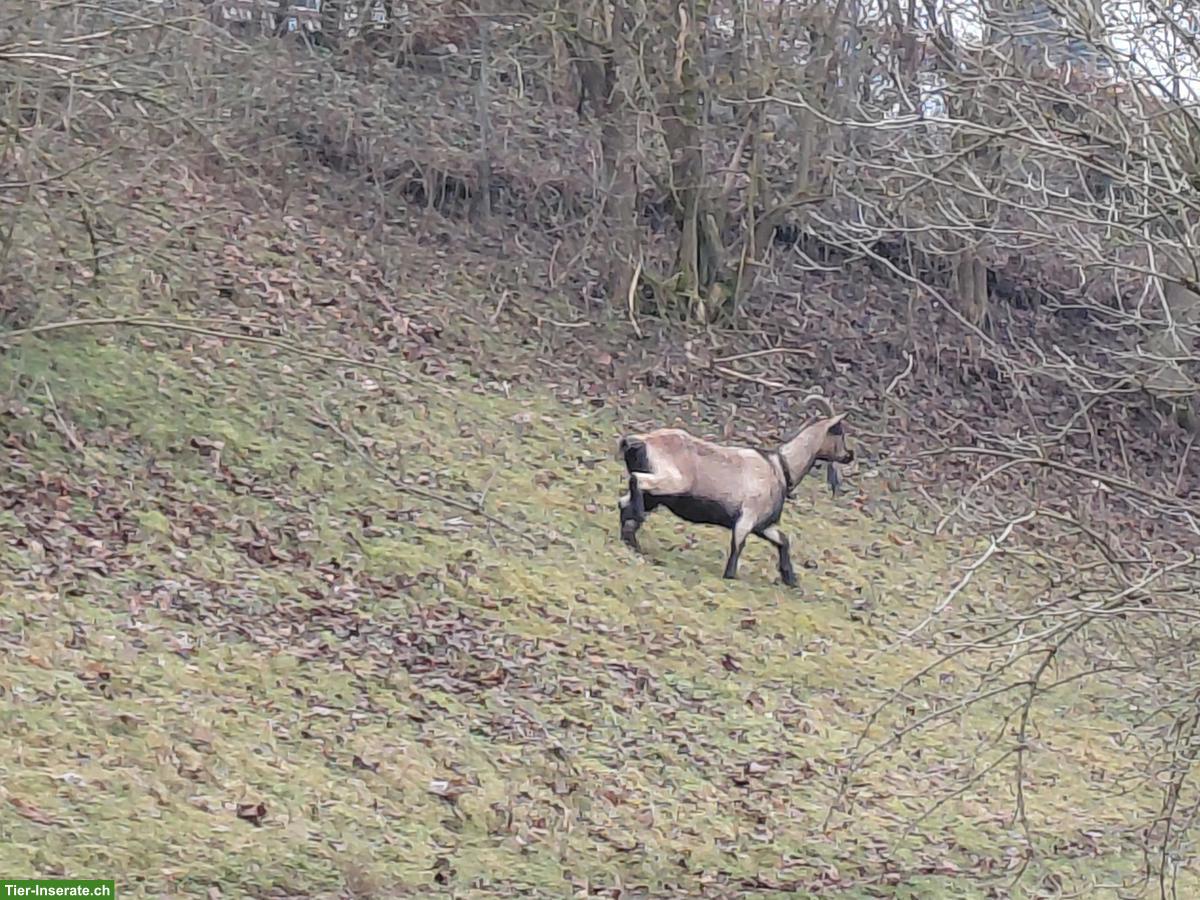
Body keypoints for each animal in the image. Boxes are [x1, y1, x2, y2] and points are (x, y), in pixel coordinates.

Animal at [616, 395, 853, 586]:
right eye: (839, 431)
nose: (849, 455)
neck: (780, 467)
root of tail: (640, 441)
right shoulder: (747, 516)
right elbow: (738, 544)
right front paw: (730, 575)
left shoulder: (763, 524)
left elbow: (783, 540)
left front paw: (791, 580)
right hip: (673, 481)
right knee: (636, 481)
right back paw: (636, 523)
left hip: (657, 495)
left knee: (623, 502)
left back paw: (631, 541)